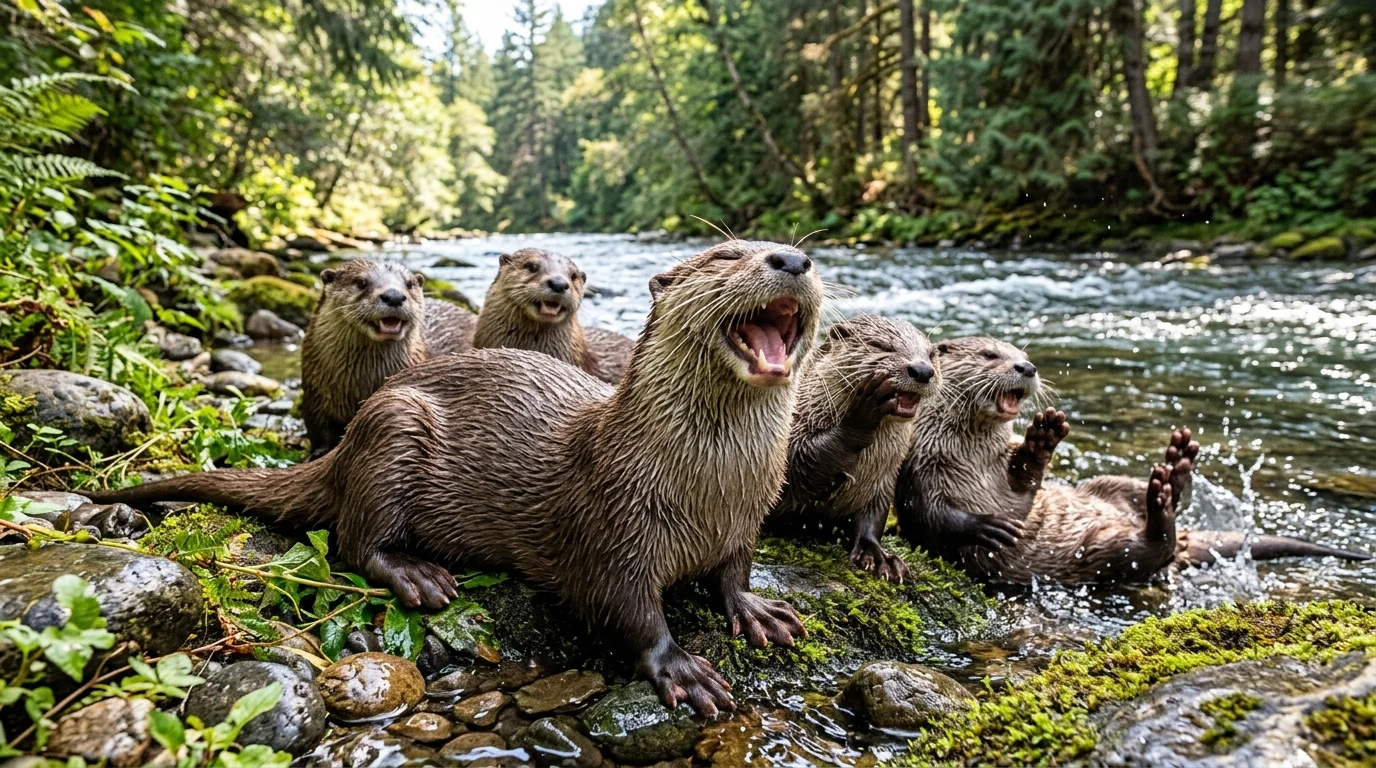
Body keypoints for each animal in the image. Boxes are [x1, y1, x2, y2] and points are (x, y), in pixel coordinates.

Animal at [300, 259, 474, 457]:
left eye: (409, 284)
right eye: (361, 282)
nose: (394, 296)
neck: (362, 383)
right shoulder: (316, 396)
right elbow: (319, 430)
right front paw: (317, 453)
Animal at [767, 315, 938, 583]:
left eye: (931, 354)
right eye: (882, 346)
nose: (922, 370)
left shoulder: (882, 480)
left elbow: (872, 517)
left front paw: (878, 556)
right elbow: (797, 468)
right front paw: (861, 414)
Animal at [894, 336, 1369, 584]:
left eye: (1022, 354)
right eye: (990, 355)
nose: (1027, 368)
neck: (970, 457)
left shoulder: (1006, 476)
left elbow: (1025, 483)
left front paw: (1043, 438)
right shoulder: (919, 471)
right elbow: (931, 517)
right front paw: (985, 527)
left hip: (1107, 487)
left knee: (1153, 516)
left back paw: (1175, 470)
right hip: (1099, 553)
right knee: (1148, 551)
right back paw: (1163, 504)